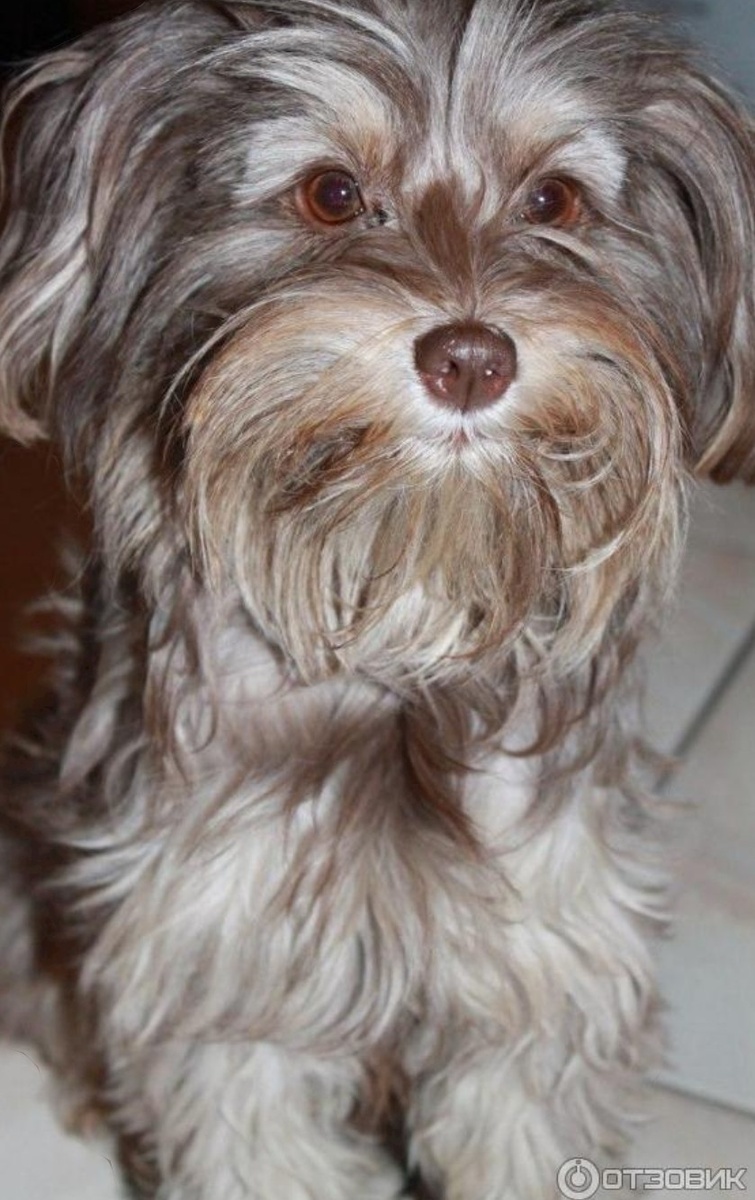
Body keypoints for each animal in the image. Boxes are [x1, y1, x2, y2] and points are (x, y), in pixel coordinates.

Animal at [1, 1, 754, 1197]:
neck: (403, 612)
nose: (469, 358)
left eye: (553, 201)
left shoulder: (539, 974)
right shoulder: (223, 979)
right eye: (331, 193)